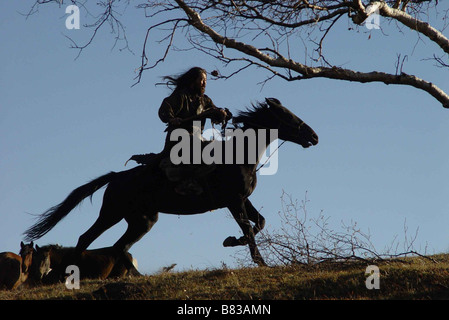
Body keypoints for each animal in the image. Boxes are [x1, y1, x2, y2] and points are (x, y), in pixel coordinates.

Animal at [23, 97, 318, 268]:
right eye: (287, 116)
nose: (314, 137)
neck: (239, 156)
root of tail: (116, 177)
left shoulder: (243, 199)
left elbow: (260, 223)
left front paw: (232, 241)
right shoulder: (233, 201)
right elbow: (249, 229)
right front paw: (257, 260)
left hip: (142, 220)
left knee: (120, 248)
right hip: (112, 212)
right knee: (86, 237)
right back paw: (68, 275)